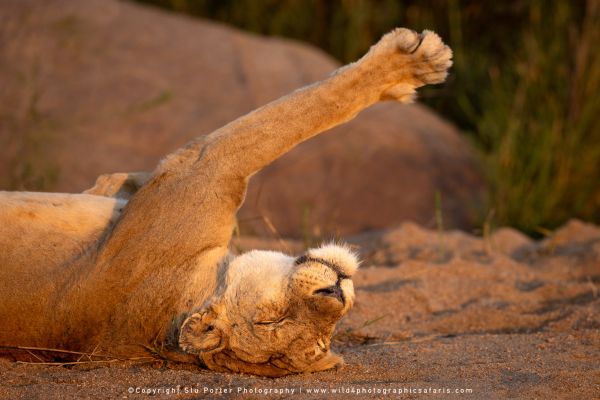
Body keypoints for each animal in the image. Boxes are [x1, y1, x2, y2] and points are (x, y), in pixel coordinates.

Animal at [0, 28, 450, 376]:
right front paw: (412, 64)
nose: (336, 293)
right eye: (272, 320)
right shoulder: (207, 164)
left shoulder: (191, 168)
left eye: (324, 337)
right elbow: (306, 111)